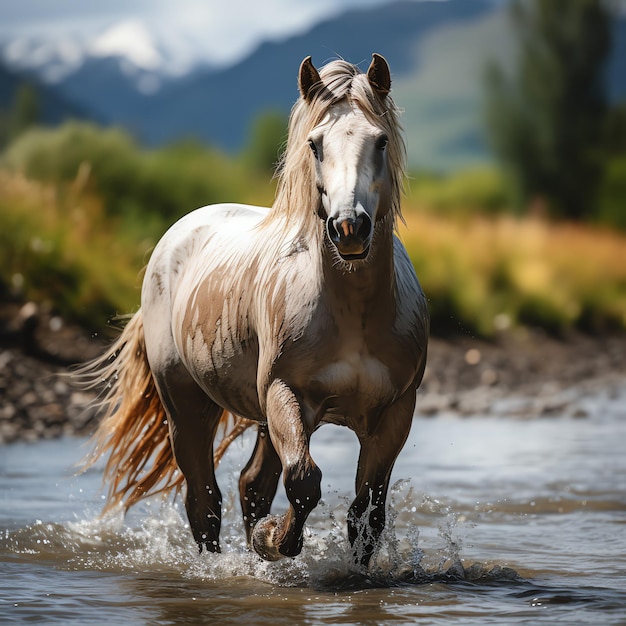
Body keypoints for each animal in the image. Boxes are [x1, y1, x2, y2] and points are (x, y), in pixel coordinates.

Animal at [80, 53, 426, 564]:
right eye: (314, 144)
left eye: (380, 140)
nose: (349, 228)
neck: (353, 313)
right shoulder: (286, 394)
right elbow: (304, 480)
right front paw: (274, 541)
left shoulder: (395, 412)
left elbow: (367, 513)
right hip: (188, 408)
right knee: (204, 499)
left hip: (260, 415)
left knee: (252, 486)